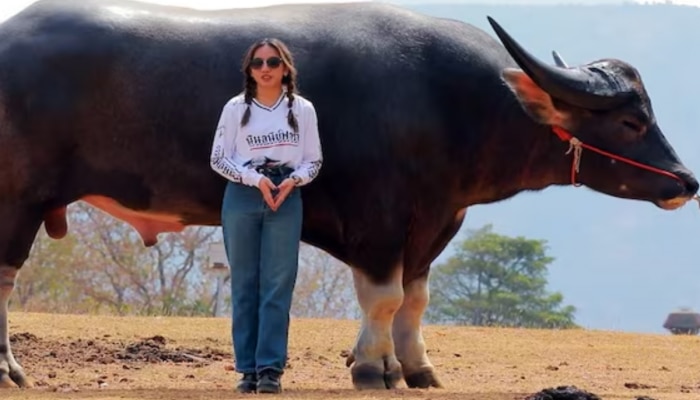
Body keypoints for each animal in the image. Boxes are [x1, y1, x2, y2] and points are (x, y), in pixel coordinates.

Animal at [0, 0, 696, 390]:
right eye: (631, 121)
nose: (686, 182)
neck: (449, 104)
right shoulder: (379, 222)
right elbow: (383, 298)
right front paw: (373, 369)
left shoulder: (432, 223)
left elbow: (414, 300)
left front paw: (418, 370)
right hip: (16, 201)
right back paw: (11, 370)